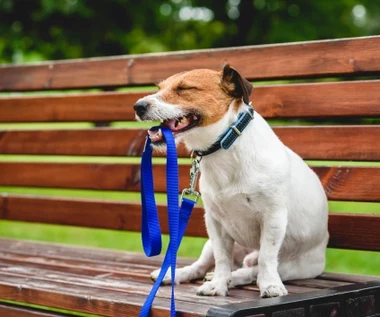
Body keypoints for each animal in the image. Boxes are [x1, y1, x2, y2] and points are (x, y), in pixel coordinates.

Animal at [134, 65, 330, 298]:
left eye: (185, 88)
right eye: (159, 88)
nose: (138, 106)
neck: (226, 146)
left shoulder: (273, 218)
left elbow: (266, 258)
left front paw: (270, 286)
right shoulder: (215, 222)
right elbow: (222, 259)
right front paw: (217, 284)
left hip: (292, 266)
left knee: (253, 269)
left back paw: (239, 276)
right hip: (210, 245)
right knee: (204, 265)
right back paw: (181, 275)